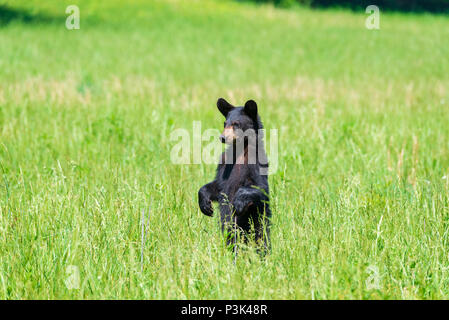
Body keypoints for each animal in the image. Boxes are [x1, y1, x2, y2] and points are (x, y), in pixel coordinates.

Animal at [199, 97, 270, 252]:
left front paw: (239, 200)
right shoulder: (224, 164)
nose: (222, 137)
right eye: (225, 123)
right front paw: (205, 204)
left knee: (261, 237)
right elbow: (218, 186)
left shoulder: (256, 163)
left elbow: (260, 187)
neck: (239, 151)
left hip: (257, 221)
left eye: (236, 124)